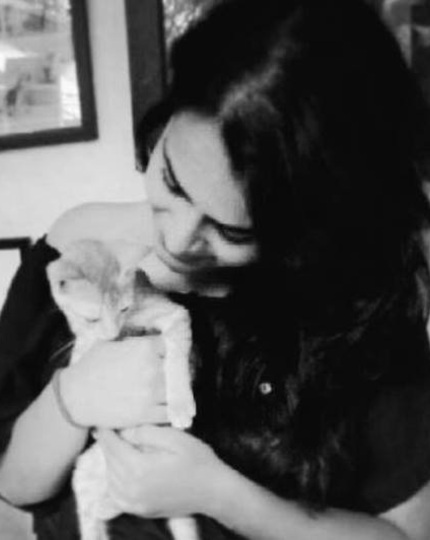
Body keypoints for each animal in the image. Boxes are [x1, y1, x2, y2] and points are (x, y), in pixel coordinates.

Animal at [47, 238, 199, 540]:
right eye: (92, 318)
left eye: (124, 309)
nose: (110, 334)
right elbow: (82, 351)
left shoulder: (174, 314)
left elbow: (176, 355)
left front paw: (180, 403)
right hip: (85, 472)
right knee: (95, 517)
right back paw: (101, 512)